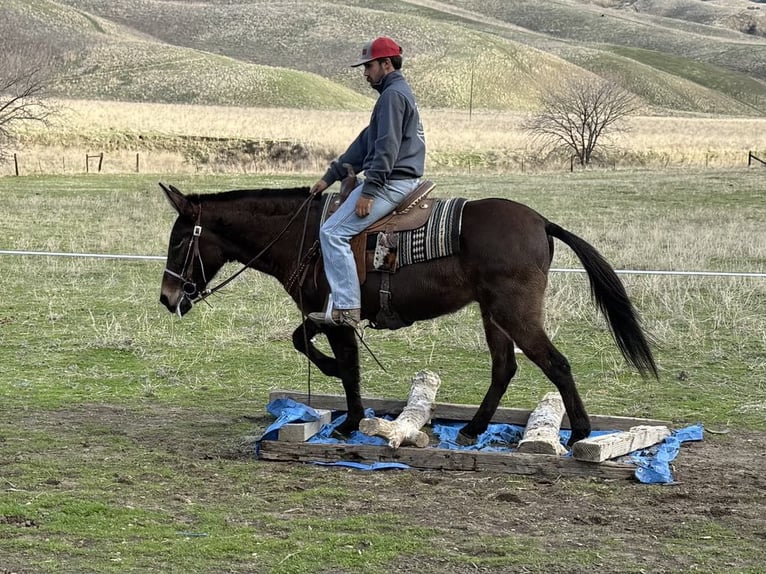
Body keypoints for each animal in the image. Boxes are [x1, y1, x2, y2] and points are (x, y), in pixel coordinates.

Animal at [159, 183, 656, 446]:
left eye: (181, 240)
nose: (167, 297)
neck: (306, 236)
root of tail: (541, 222)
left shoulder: (338, 317)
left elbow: (349, 369)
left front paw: (350, 421)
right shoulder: (322, 314)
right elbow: (303, 341)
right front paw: (336, 387)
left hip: (516, 313)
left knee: (556, 364)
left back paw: (580, 434)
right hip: (493, 314)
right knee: (504, 368)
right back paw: (474, 428)